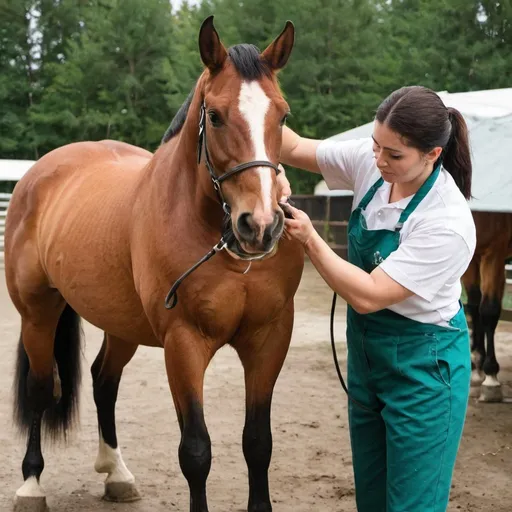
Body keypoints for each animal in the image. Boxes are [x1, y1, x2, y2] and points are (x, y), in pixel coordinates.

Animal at [5, 16, 304, 512]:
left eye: (282, 115)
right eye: (215, 115)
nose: (259, 225)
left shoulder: (269, 340)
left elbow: (258, 443)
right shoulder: (183, 344)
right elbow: (196, 452)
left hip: (121, 323)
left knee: (103, 381)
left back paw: (117, 474)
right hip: (38, 312)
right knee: (42, 387)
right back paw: (31, 484)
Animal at [460, 210, 512, 402]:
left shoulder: (493, 254)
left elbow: (489, 310)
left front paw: (491, 376)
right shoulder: (470, 259)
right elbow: (475, 307)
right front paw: (477, 363)